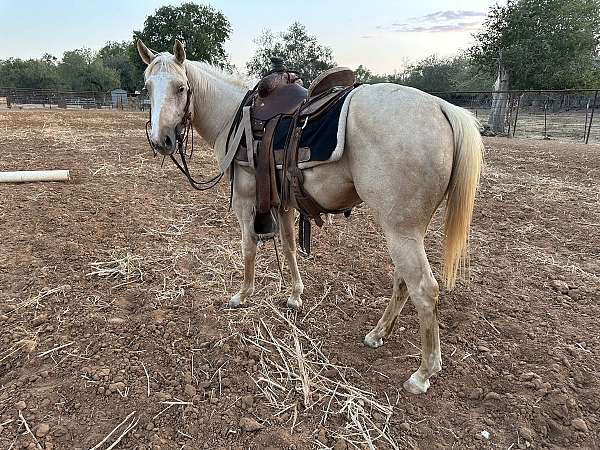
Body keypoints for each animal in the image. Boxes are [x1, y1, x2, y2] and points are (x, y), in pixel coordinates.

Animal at [137, 40, 482, 396]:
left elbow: (248, 248)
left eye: (181, 87)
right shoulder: (284, 204)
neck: (233, 116)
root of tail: (442, 108)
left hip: (400, 231)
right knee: (404, 281)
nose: (161, 140)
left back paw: (423, 373)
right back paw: (378, 334)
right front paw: (294, 296)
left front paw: (242, 296)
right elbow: (289, 247)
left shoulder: (246, 203)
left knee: (424, 289)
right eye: (147, 87)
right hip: (409, 231)